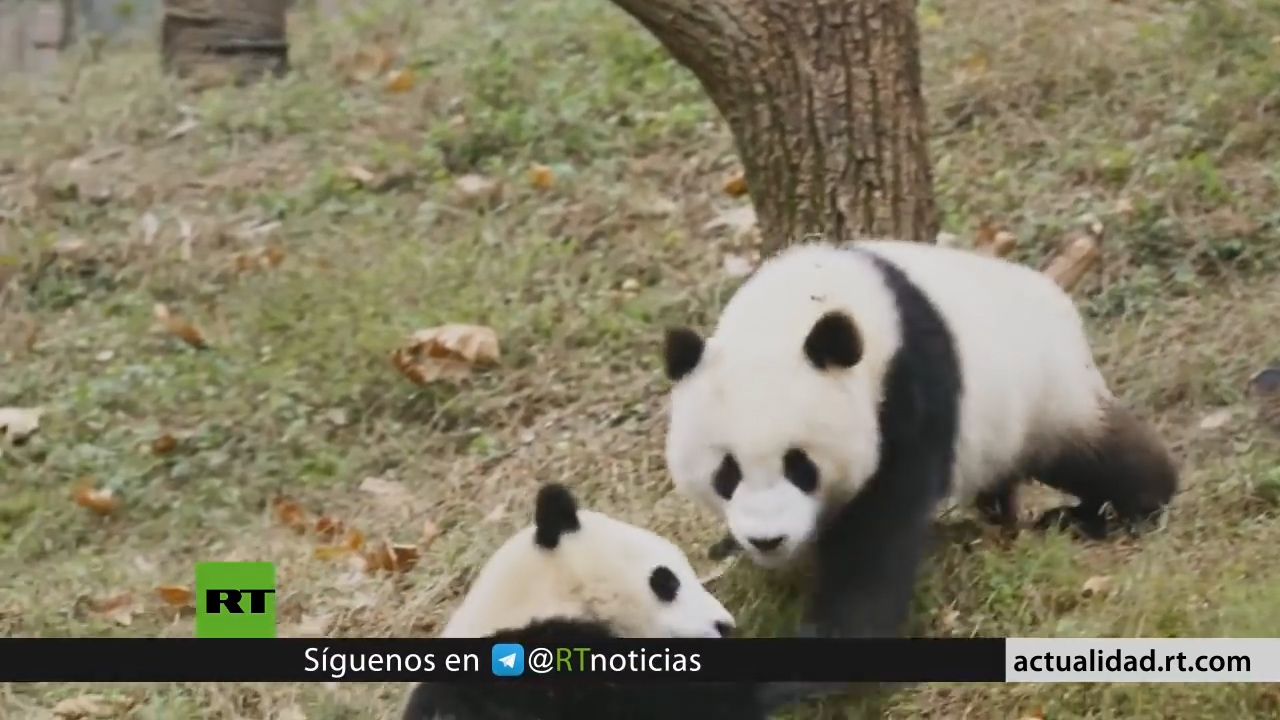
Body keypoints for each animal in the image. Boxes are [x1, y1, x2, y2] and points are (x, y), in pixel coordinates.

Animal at [661, 238, 1180, 645]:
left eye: (800, 466)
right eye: (726, 473)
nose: (767, 540)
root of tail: (1058, 297)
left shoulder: (907, 384)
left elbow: (879, 538)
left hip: (1045, 389)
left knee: (1096, 454)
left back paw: (1133, 504)